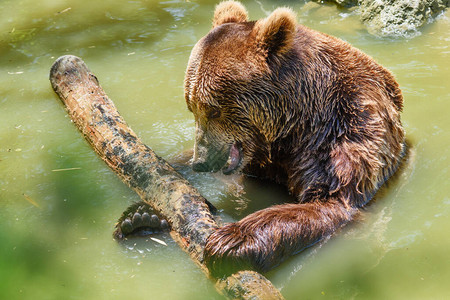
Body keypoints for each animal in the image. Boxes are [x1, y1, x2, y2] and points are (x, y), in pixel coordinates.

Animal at [183, 0, 404, 276]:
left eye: (214, 109)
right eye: (191, 107)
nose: (200, 161)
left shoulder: (342, 134)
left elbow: (328, 201)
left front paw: (230, 239)